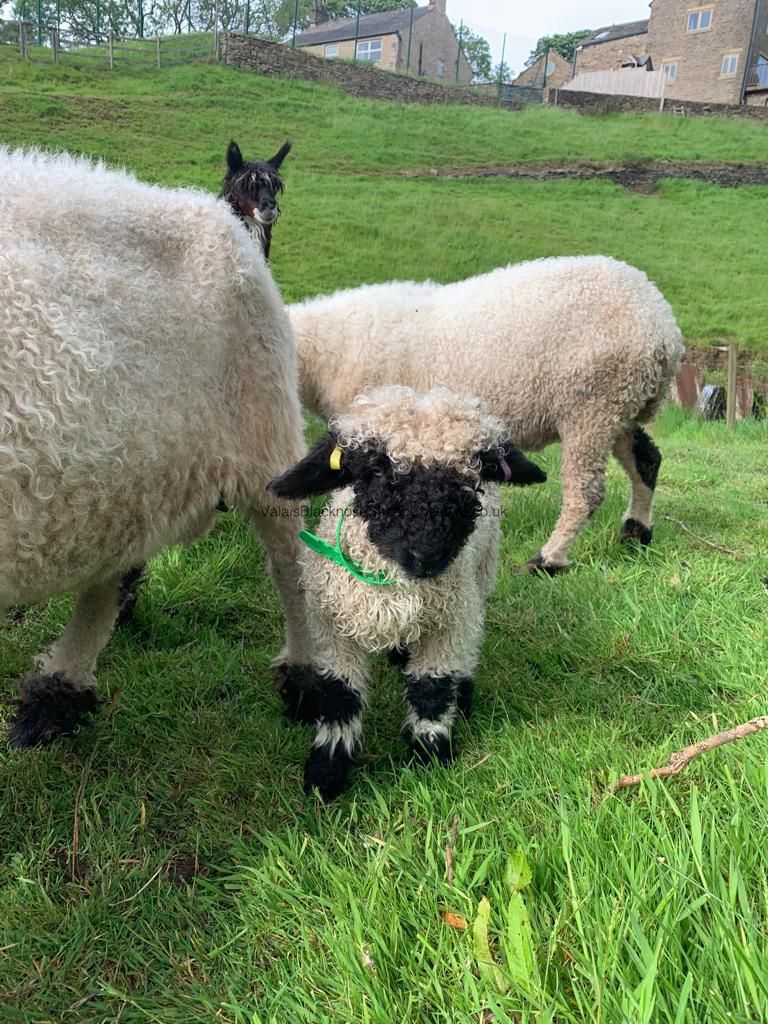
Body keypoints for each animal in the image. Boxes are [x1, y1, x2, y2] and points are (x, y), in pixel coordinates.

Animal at [0, 147, 312, 749]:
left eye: (274, 185)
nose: (268, 209)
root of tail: (210, 217)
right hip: (127, 463)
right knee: (110, 570)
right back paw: (58, 695)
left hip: (262, 417)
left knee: (292, 558)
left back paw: (308, 677)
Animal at [268, 385, 547, 799]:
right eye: (375, 468)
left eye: (474, 472)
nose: (427, 555)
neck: (397, 585)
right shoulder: (332, 627)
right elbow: (339, 697)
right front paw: (326, 773)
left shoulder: (448, 622)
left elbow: (431, 689)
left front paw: (430, 759)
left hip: (479, 579)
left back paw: (463, 695)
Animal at [288, 256, 685, 574]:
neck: (325, 352)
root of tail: (664, 327)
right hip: (620, 402)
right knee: (647, 459)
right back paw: (636, 532)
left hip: (592, 405)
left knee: (586, 492)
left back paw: (548, 559)